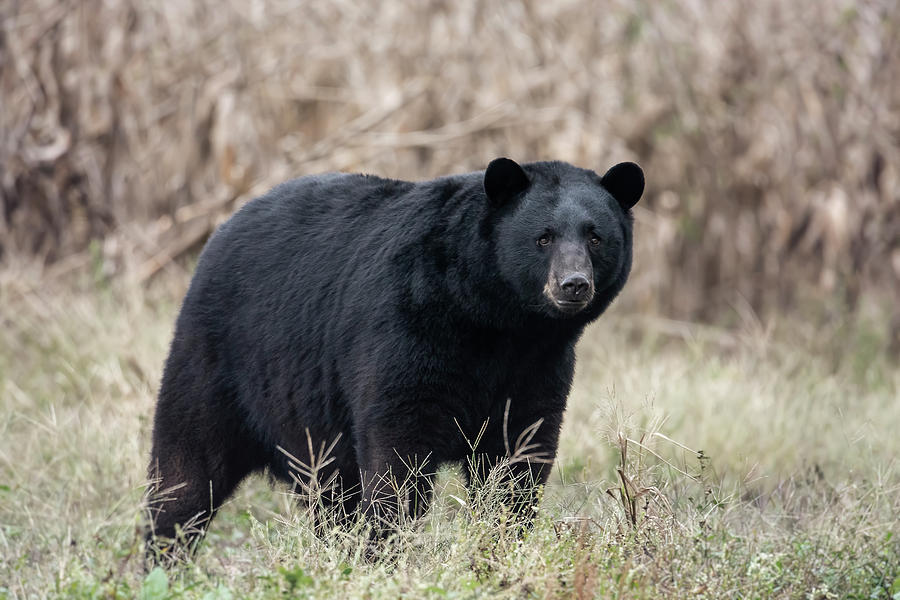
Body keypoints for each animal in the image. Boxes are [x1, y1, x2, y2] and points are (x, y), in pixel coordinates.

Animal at [146, 156, 640, 556]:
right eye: (543, 238)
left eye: (595, 238)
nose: (573, 284)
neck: (496, 323)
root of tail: (222, 228)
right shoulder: (406, 330)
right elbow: (399, 452)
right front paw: (385, 549)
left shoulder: (538, 366)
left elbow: (518, 456)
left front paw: (500, 545)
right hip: (218, 357)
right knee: (186, 469)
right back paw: (166, 556)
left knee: (331, 494)